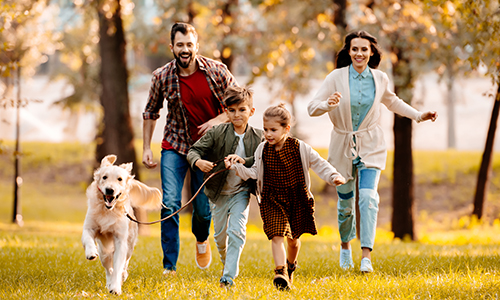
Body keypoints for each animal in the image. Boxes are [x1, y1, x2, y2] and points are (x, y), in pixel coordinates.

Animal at [81, 155, 161, 296]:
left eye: (120, 179)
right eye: (104, 177)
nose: (110, 190)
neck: (108, 210)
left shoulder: (120, 240)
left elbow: (118, 266)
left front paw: (116, 287)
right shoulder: (89, 227)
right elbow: (87, 238)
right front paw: (90, 252)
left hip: (129, 246)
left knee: (124, 264)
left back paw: (121, 277)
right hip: (104, 252)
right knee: (108, 269)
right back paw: (108, 281)